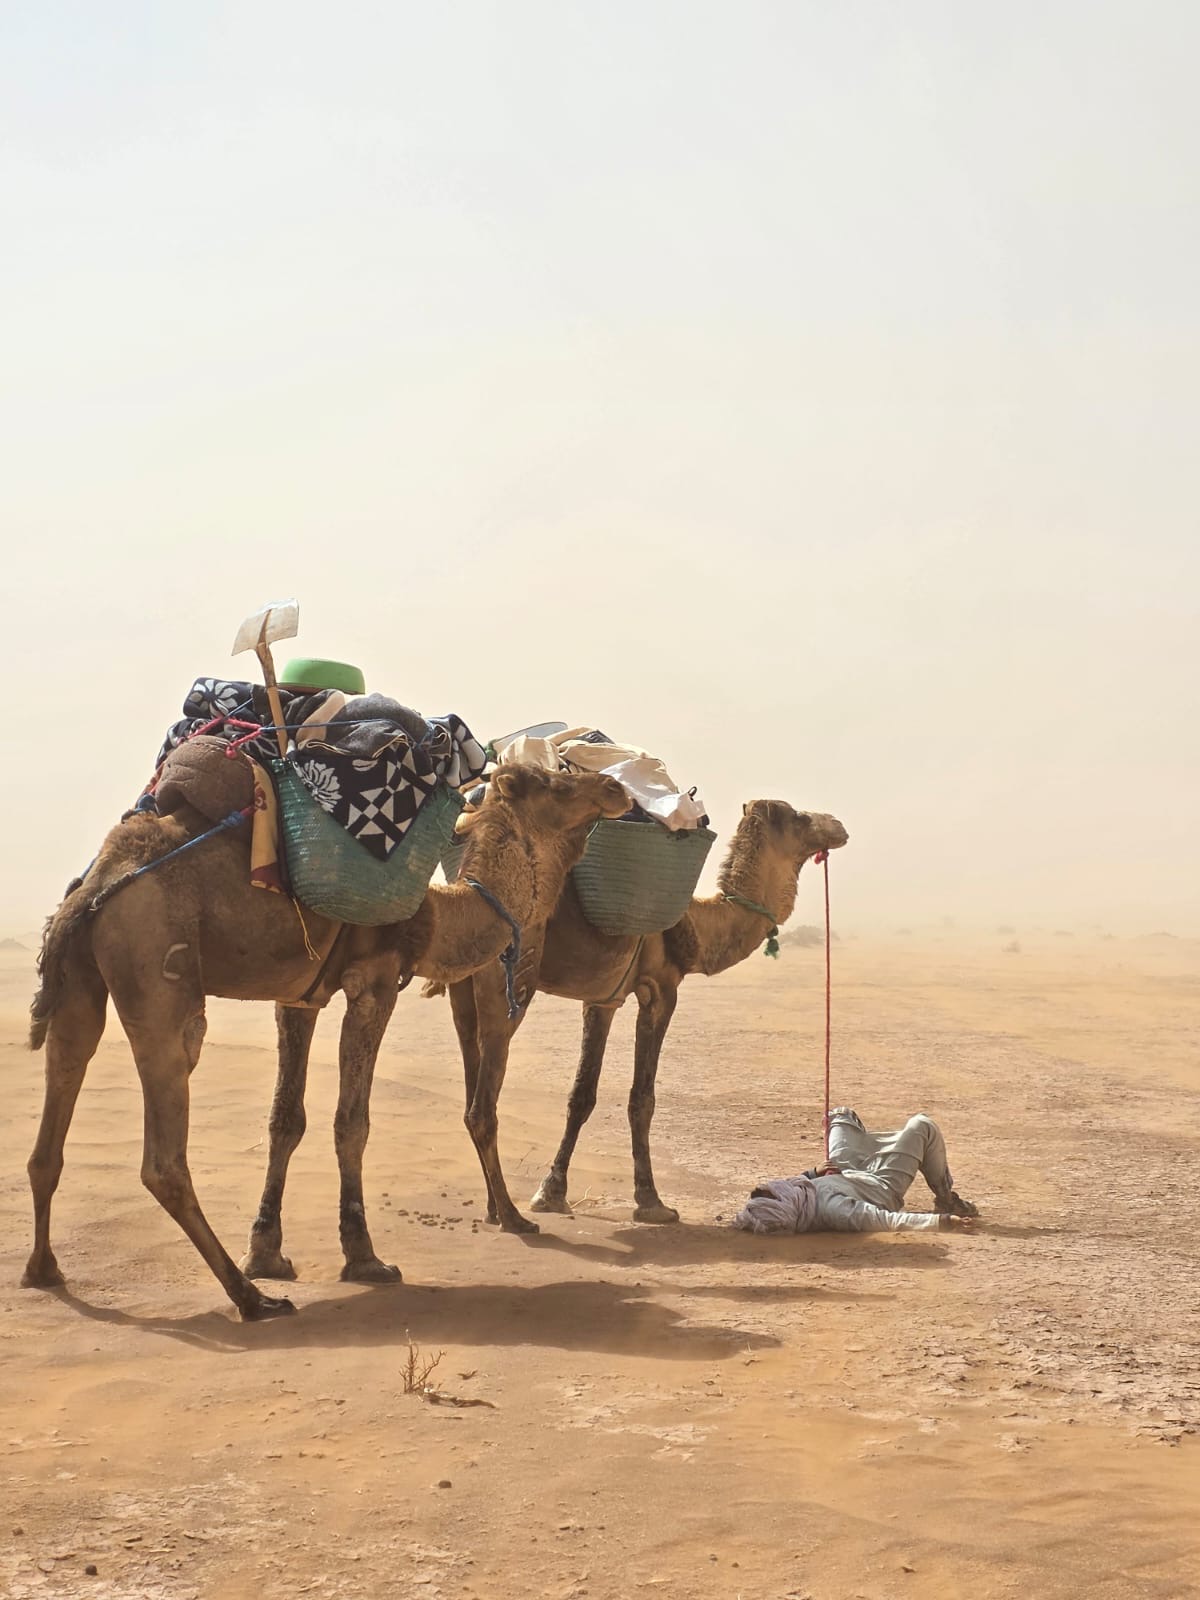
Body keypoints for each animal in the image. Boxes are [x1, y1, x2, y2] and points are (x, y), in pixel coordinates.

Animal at [23, 764, 629, 1317]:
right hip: (155, 964)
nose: (616, 787)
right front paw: (363, 1258)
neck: (437, 917)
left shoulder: (300, 997)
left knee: (54, 1120)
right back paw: (251, 1299)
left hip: (80, 982)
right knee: (164, 1153)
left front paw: (266, 1252)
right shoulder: (375, 982)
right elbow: (351, 1122)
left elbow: (285, 1119)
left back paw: (44, 1270)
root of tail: (96, 886)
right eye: (556, 783)